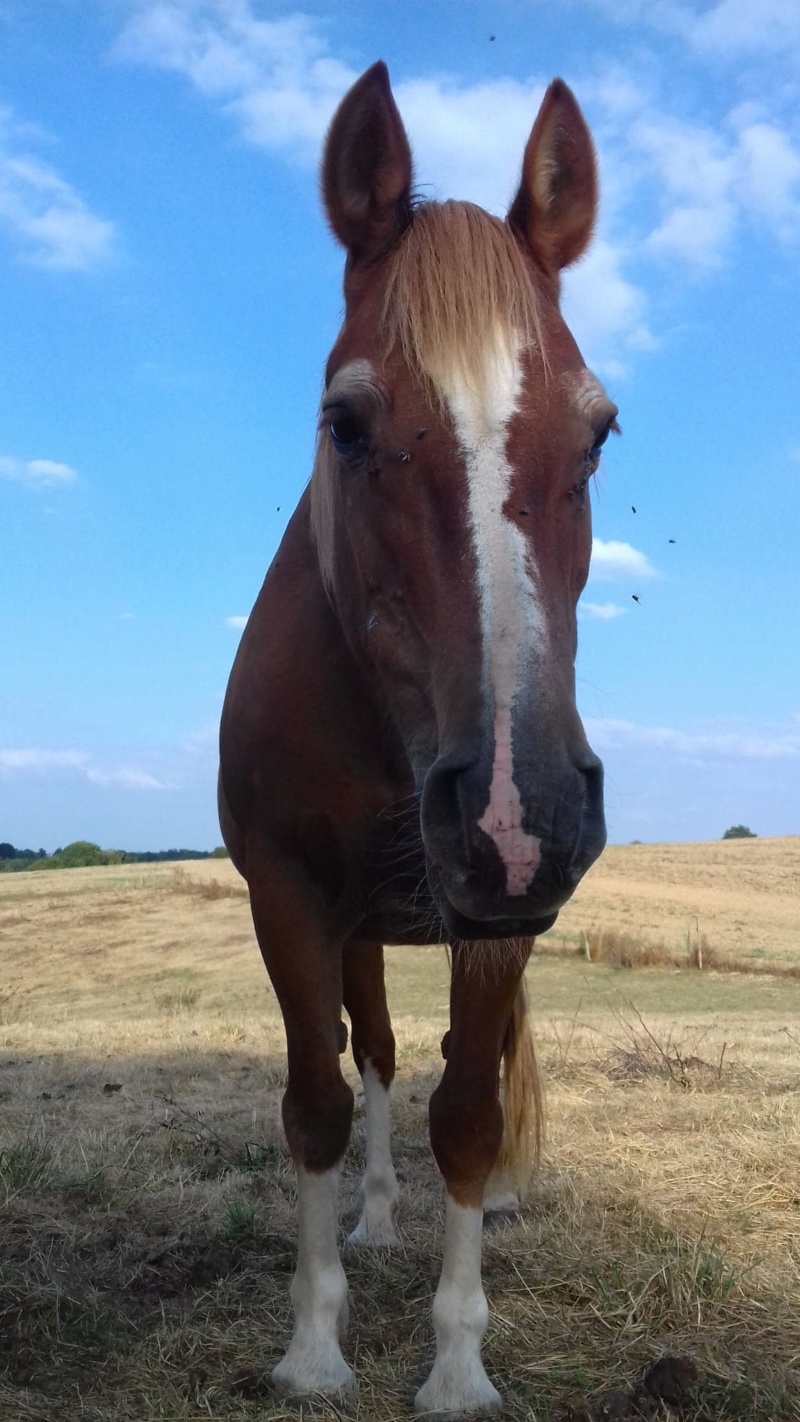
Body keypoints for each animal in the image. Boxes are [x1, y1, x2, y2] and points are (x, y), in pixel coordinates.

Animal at [215, 61, 616, 1416]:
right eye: (343, 423)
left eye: (598, 431)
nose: (512, 810)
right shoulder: (289, 896)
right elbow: (320, 1104)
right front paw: (313, 1346)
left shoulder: (499, 919)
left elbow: (469, 1117)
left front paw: (454, 1362)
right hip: (362, 929)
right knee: (379, 1060)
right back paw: (377, 1220)